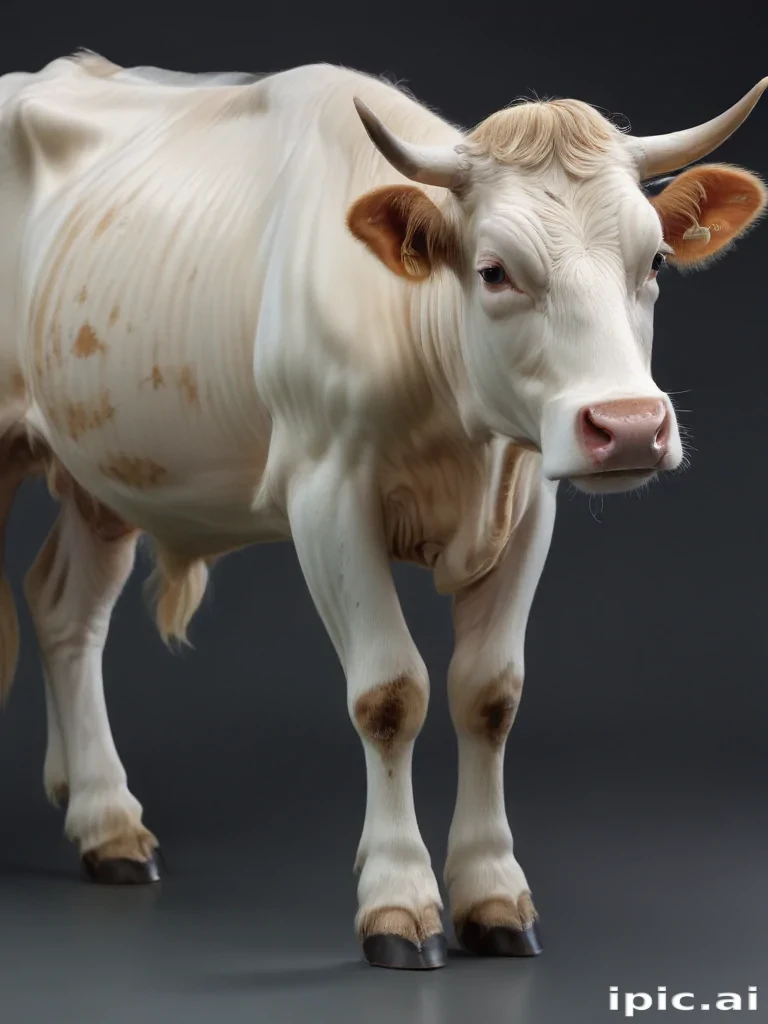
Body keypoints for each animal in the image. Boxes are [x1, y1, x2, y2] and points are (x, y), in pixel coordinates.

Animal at [0, 52, 765, 971]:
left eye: (652, 263)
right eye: (494, 270)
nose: (629, 426)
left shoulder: (528, 500)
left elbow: (489, 692)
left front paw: (493, 895)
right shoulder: (328, 493)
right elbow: (390, 693)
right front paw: (399, 902)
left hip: (102, 465)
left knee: (66, 610)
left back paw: (105, 821)